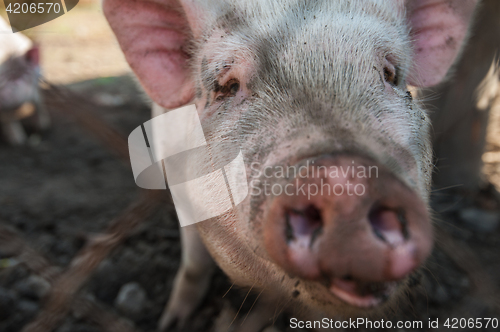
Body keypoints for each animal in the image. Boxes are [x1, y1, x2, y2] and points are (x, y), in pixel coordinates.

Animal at [0, 16, 50, 145]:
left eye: (21, 76)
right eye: (2, 79)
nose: (4, 95)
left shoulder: (36, 84)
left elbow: (38, 102)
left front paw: (44, 126)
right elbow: (8, 120)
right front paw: (19, 141)